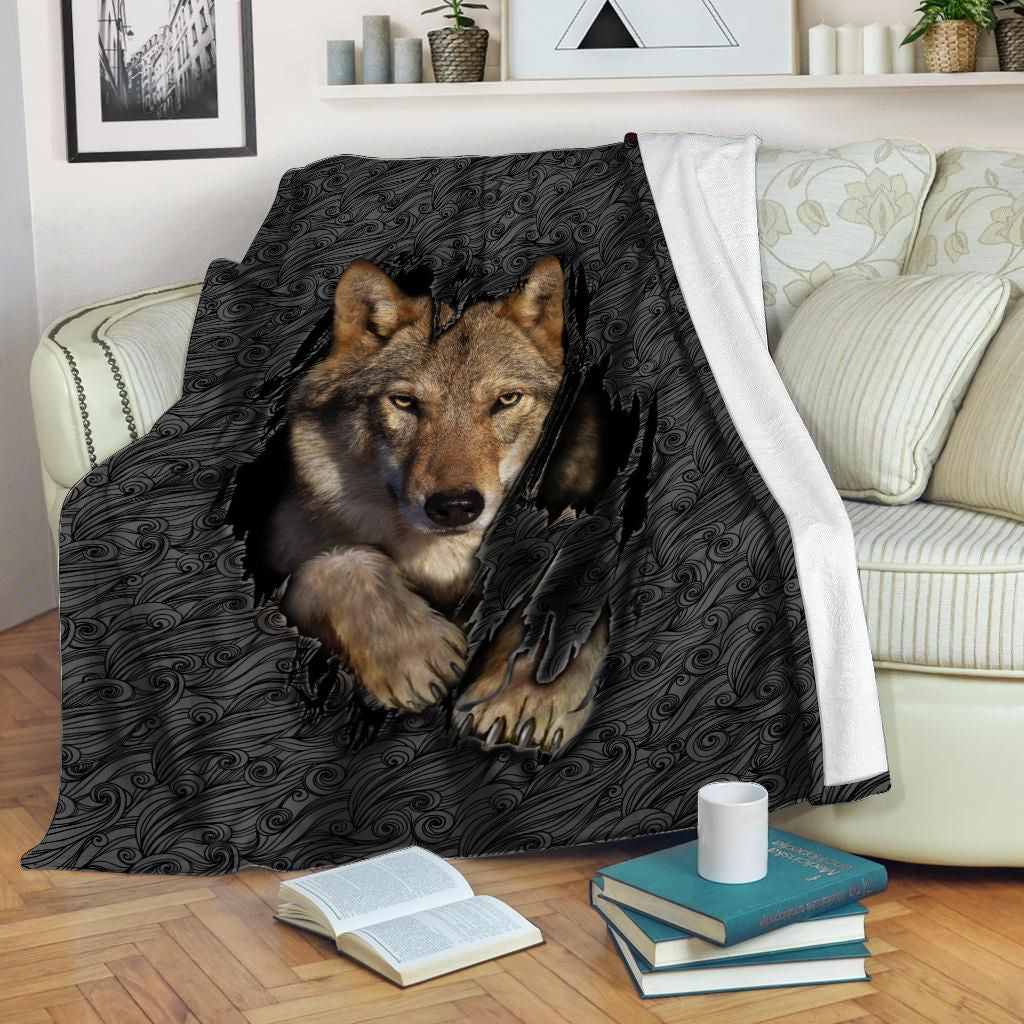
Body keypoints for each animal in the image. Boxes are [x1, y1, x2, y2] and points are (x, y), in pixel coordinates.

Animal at [266, 256, 608, 756]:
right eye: (405, 402)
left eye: (506, 400)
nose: (456, 506)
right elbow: (336, 563)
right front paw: (413, 654)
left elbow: (570, 584)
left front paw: (527, 692)